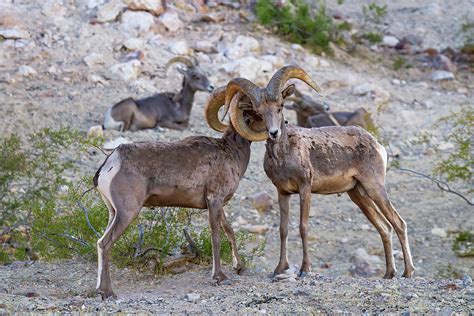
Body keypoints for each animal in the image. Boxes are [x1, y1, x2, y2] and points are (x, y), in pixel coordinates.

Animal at [92, 84, 262, 298]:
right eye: (258, 112)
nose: (278, 129)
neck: (231, 152)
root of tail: (111, 162)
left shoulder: (218, 204)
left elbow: (229, 230)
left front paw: (240, 267)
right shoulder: (214, 201)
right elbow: (216, 235)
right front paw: (219, 277)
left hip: (112, 212)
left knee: (100, 243)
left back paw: (100, 289)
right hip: (127, 212)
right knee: (105, 244)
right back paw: (108, 293)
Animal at [211, 66, 414, 278]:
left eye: (280, 106)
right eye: (259, 112)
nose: (274, 133)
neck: (284, 156)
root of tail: (376, 144)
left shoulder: (305, 188)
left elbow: (303, 227)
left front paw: (304, 269)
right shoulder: (283, 193)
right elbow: (283, 229)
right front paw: (279, 268)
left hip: (375, 188)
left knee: (398, 223)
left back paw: (407, 272)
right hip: (359, 195)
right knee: (385, 228)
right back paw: (389, 273)